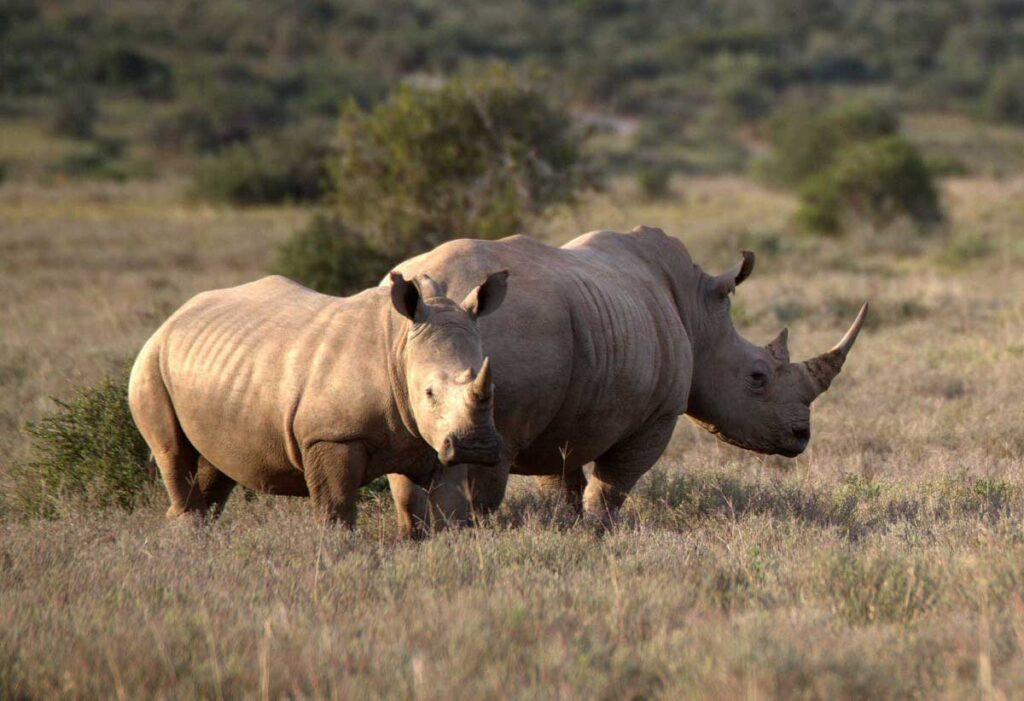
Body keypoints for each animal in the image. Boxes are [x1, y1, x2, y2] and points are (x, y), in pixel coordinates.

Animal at [128, 270, 507, 523]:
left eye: (492, 387)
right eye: (429, 392)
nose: (477, 446)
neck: (401, 345)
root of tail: (171, 319)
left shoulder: (435, 438)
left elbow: (447, 511)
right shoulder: (330, 436)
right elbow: (336, 510)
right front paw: (339, 555)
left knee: (213, 471)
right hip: (150, 365)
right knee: (174, 456)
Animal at [385, 227, 864, 532]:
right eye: (757, 377)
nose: (801, 436)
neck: (699, 313)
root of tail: (443, 292)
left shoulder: (565, 415)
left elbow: (562, 483)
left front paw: (569, 528)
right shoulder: (658, 415)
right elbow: (612, 485)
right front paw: (600, 532)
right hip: (505, 337)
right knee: (486, 465)